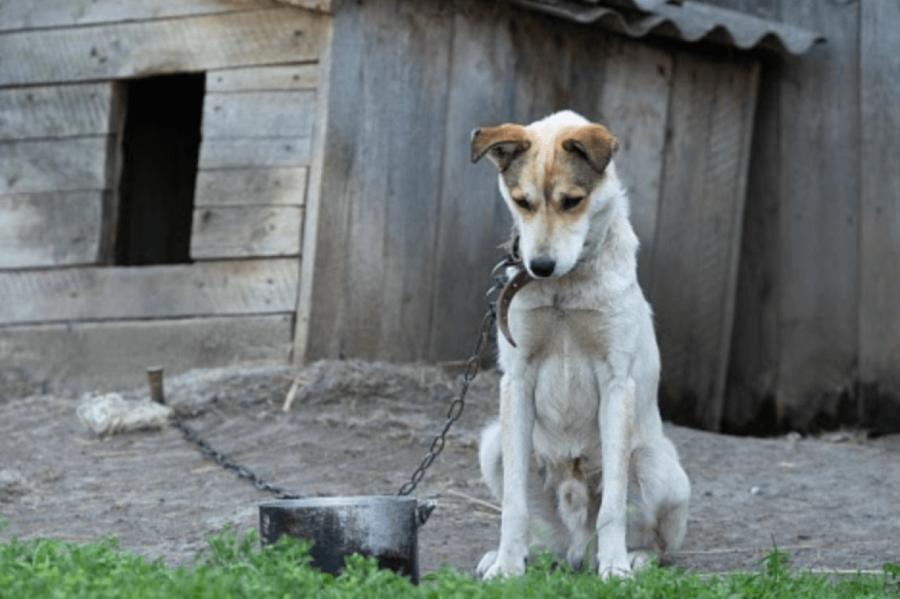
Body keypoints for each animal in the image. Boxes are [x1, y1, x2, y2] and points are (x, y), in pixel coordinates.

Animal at [472, 110, 688, 580]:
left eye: (572, 201)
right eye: (522, 201)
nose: (540, 266)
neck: (564, 290)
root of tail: (577, 549)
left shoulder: (616, 383)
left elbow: (613, 507)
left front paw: (616, 570)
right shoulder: (516, 380)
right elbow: (513, 504)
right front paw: (507, 568)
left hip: (656, 465)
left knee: (659, 544)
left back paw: (631, 558)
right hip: (493, 443)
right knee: (542, 533)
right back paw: (520, 556)